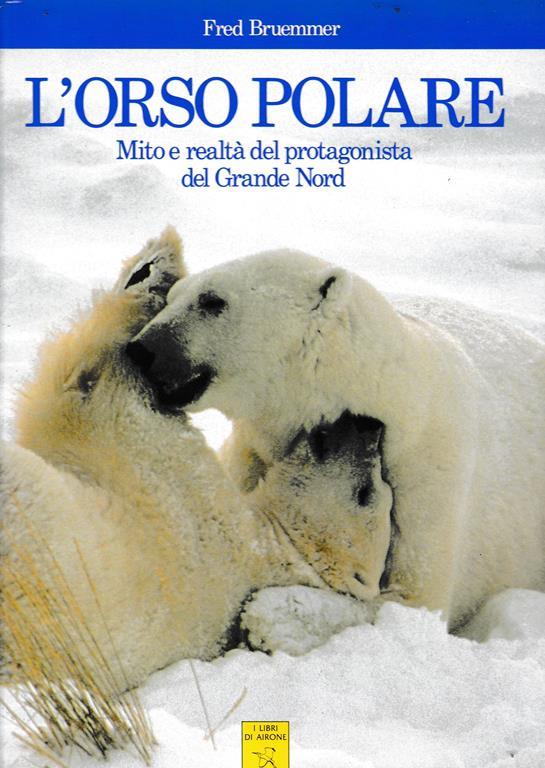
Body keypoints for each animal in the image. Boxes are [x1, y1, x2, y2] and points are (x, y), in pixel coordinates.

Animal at [1, 234, 393, 691]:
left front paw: (153, 266)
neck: (272, 543)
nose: (368, 425)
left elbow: (96, 395)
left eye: (368, 493)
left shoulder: (186, 505)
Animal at [128, 247, 545, 630]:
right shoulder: (252, 452)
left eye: (213, 300)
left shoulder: (429, 468)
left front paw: (273, 616)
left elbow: (413, 600)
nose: (140, 349)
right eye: (172, 295)